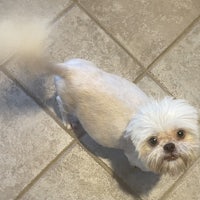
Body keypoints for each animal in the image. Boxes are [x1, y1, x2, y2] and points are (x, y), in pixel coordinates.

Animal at [0, 19, 199, 175]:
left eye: (180, 133)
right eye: (153, 141)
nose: (169, 146)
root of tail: (68, 70)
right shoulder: (135, 158)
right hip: (67, 102)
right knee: (60, 104)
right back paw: (68, 121)